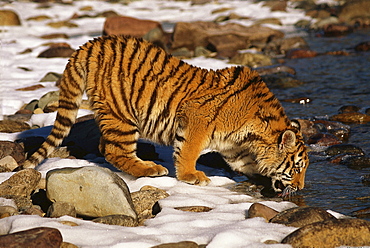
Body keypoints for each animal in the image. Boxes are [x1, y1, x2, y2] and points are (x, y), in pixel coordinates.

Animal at [23, 35, 310, 196]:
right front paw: (191, 176)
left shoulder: (235, 150)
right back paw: (150, 169)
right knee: (114, 150)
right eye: (297, 168)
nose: (302, 188)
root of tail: (91, 44)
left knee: (106, 146)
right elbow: (188, 151)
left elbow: (247, 165)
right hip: (122, 113)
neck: (254, 135)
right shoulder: (196, 119)